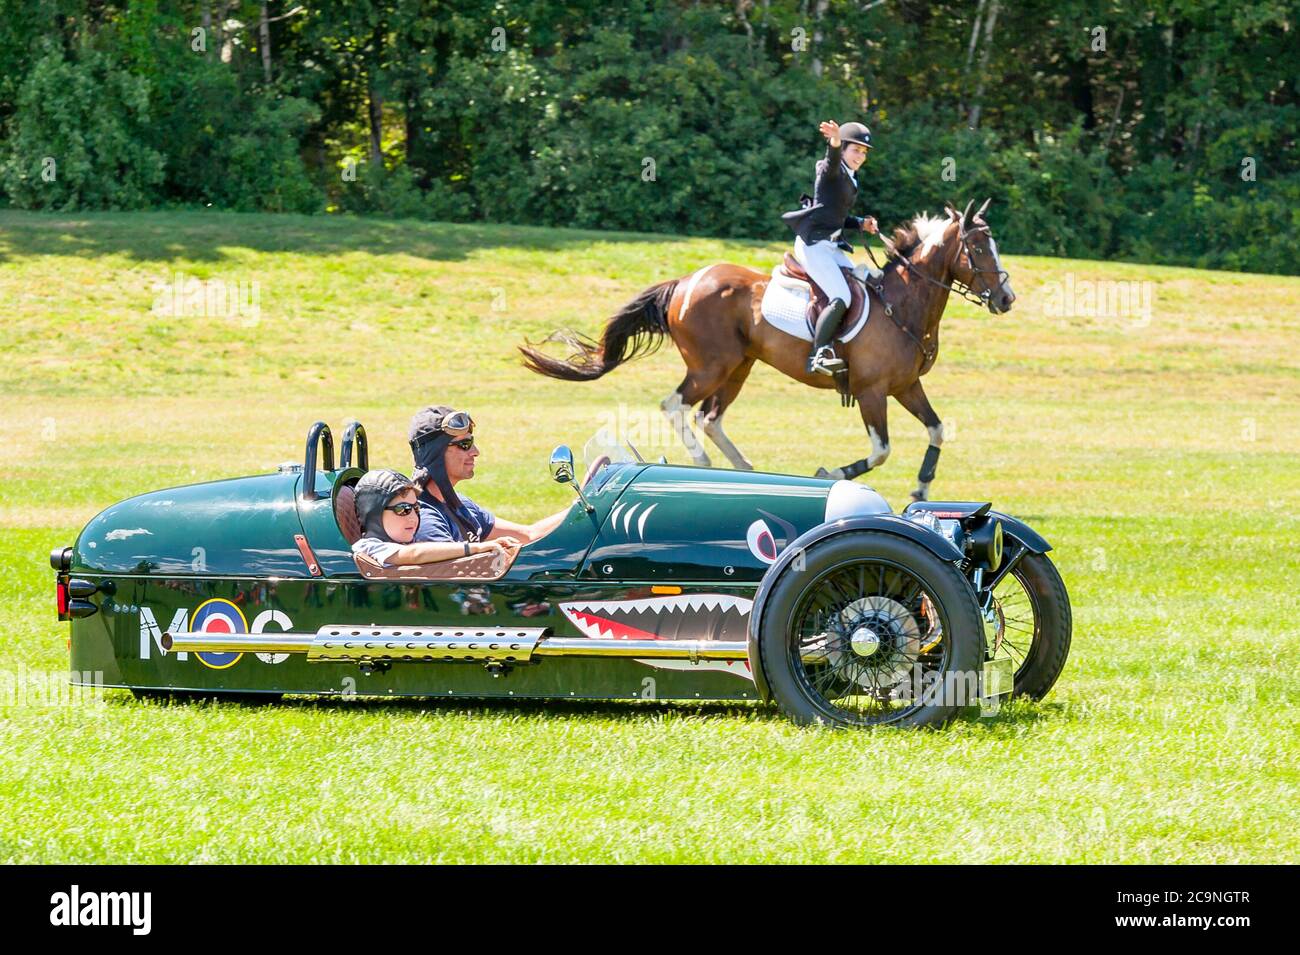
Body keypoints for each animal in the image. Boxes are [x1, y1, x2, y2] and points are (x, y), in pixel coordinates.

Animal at [517, 198, 1013, 504]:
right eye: (976, 247)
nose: (1006, 299)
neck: (903, 305)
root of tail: (685, 282)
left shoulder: (906, 386)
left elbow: (936, 430)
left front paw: (922, 491)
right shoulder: (872, 391)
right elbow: (880, 451)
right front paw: (830, 476)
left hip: (740, 365)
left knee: (710, 418)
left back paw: (744, 474)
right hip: (712, 365)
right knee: (677, 405)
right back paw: (704, 465)